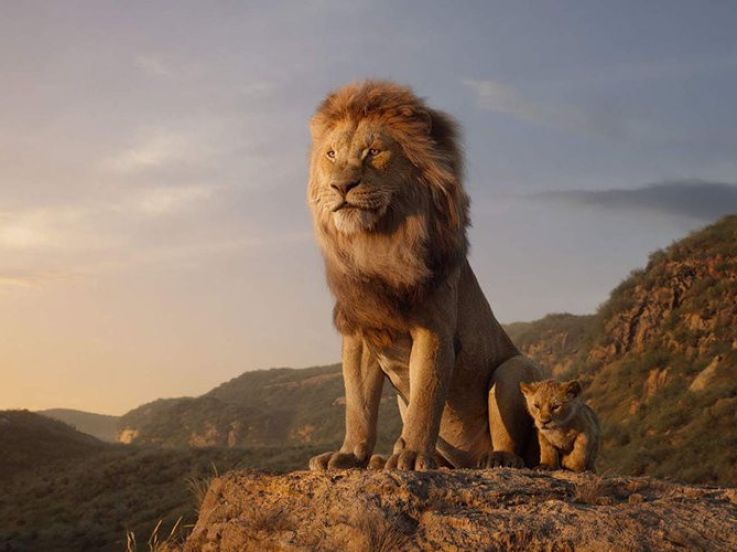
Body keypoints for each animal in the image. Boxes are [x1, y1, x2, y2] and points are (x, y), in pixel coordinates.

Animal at [307, 80, 544, 471]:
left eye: (374, 151)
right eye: (331, 154)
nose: (341, 186)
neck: (376, 244)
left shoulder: (434, 329)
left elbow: (426, 399)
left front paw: (413, 455)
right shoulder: (360, 333)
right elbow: (358, 406)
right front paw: (349, 455)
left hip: (515, 369)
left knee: (516, 442)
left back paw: (496, 459)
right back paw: (383, 459)